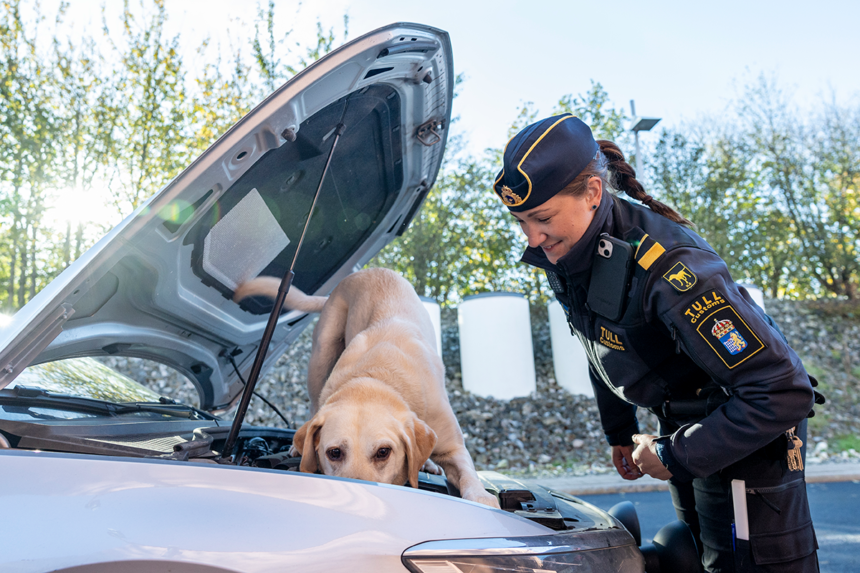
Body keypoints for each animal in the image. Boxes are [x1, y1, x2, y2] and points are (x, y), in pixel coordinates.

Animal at [232, 266, 500, 508]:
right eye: (334, 452)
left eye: (383, 452)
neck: (377, 379)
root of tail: (365, 271)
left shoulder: (454, 447)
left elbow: (468, 474)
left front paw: (482, 497)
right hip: (322, 355)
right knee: (313, 403)